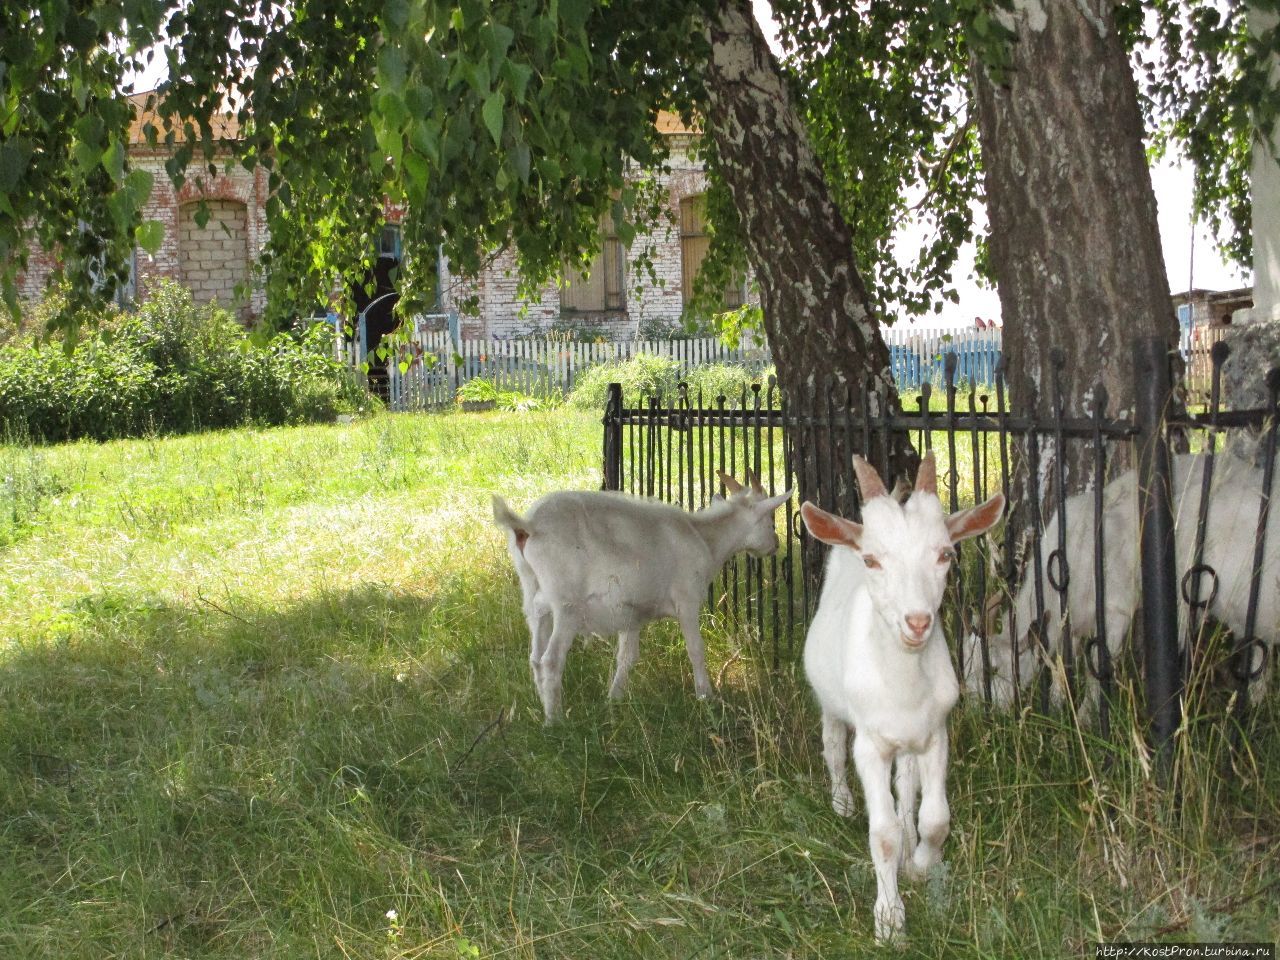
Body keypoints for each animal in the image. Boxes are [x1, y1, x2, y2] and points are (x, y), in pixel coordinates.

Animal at [491, 473, 783, 721]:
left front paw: (614, 699)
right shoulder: (687, 599)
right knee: (550, 660)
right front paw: (705, 696)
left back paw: (542, 704)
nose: (776, 545)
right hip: (567, 605)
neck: (705, 538)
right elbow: (695, 649)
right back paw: (555, 721)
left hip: (534, 598)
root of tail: (528, 526)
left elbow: (627, 656)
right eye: (770, 519)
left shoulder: (630, 612)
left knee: (535, 656)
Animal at [803, 455, 1003, 942]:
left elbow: (935, 818)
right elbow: (883, 834)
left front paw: (922, 864)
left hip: (909, 743)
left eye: (946, 554)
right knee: (832, 745)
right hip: (830, 703)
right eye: (873, 560)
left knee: (906, 788)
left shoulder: (935, 734)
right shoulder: (871, 745)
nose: (917, 622)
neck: (905, 682)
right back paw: (841, 801)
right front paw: (890, 919)